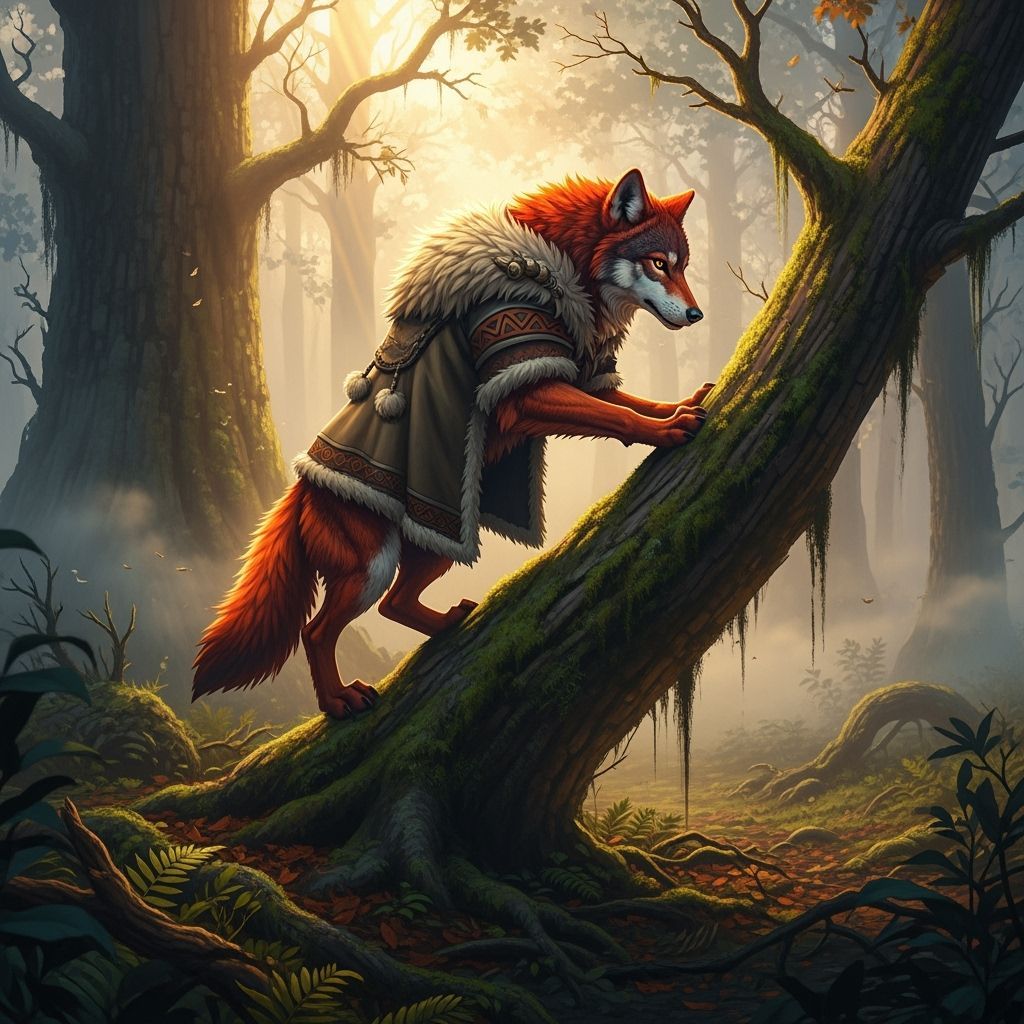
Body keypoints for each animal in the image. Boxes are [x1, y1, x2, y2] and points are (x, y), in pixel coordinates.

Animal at [192, 168, 713, 719]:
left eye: (681, 266)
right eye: (658, 264)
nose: (697, 314)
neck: (561, 268)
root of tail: (299, 490)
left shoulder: (573, 377)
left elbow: (635, 404)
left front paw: (684, 402)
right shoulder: (528, 388)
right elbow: (620, 416)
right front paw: (669, 429)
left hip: (440, 538)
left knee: (394, 604)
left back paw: (445, 624)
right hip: (371, 567)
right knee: (317, 632)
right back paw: (337, 701)